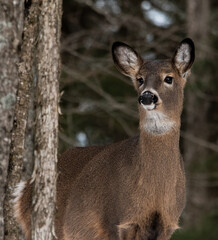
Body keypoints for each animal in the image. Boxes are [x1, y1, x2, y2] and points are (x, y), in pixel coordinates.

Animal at [13, 38, 194, 240]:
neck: (155, 192)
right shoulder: (114, 220)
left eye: (169, 78)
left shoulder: (167, 224)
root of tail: (23, 191)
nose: (147, 96)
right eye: (140, 79)